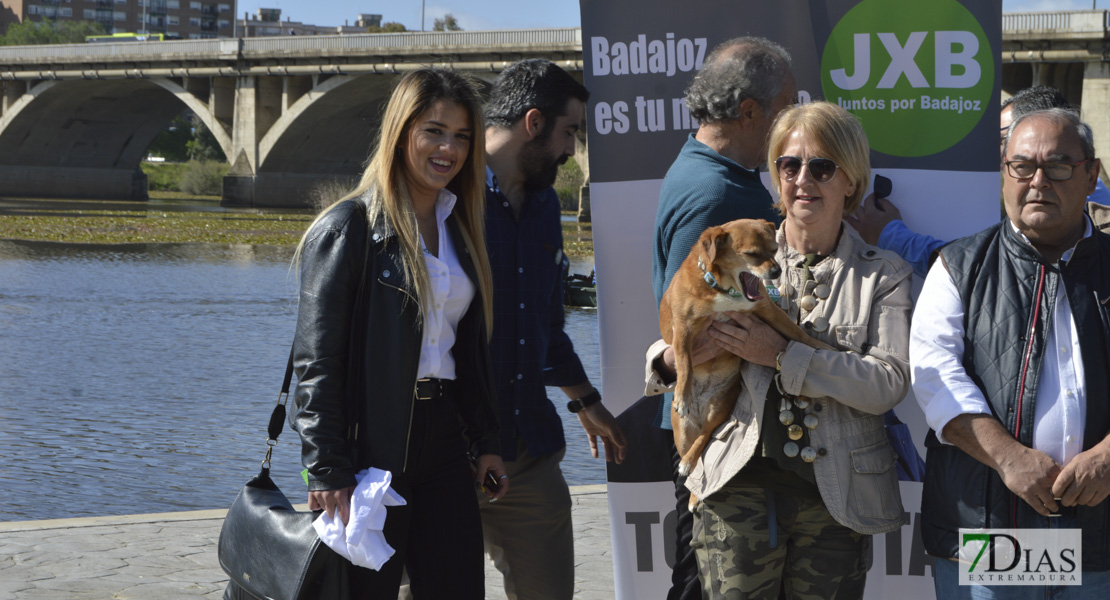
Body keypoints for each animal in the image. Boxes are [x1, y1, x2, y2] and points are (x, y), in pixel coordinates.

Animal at [657, 217, 834, 494]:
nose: (776, 272)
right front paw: (682, 396)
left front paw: (821, 346)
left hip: (720, 409)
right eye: (751, 254)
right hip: (683, 431)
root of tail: (701, 411)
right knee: (692, 454)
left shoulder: (768, 310)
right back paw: (687, 464)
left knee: (705, 436)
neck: (725, 290)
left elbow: (796, 332)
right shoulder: (683, 329)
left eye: (774, 250)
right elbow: (684, 362)